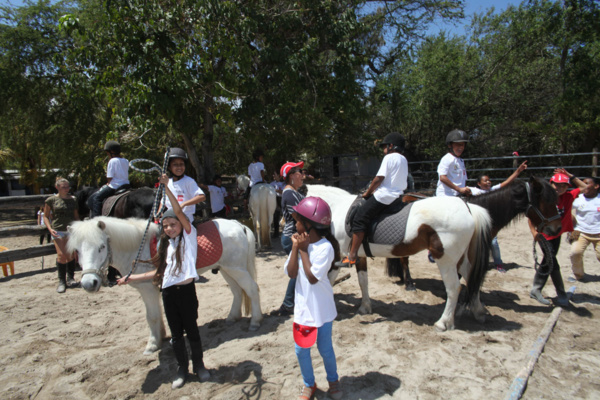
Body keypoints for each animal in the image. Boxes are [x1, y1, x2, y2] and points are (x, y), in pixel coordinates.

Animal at [67, 217, 262, 354]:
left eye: (101, 247)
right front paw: (161, 336)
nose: (89, 283)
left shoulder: (147, 289)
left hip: (236, 268)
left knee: (252, 289)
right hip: (226, 268)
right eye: (77, 250)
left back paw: (255, 322)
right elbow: (156, 314)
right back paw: (232, 317)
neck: (137, 248)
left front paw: (152, 344)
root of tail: (238, 225)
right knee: (237, 291)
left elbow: (152, 316)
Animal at [304, 184, 492, 332]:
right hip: (460, 260)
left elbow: (328, 280)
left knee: (454, 288)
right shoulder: (358, 256)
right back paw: (479, 312)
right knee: (472, 279)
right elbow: (363, 281)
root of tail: (467, 207)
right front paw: (365, 307)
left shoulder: (338, 255)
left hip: (446, 260)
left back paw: (443, 322)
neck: (336, 208)